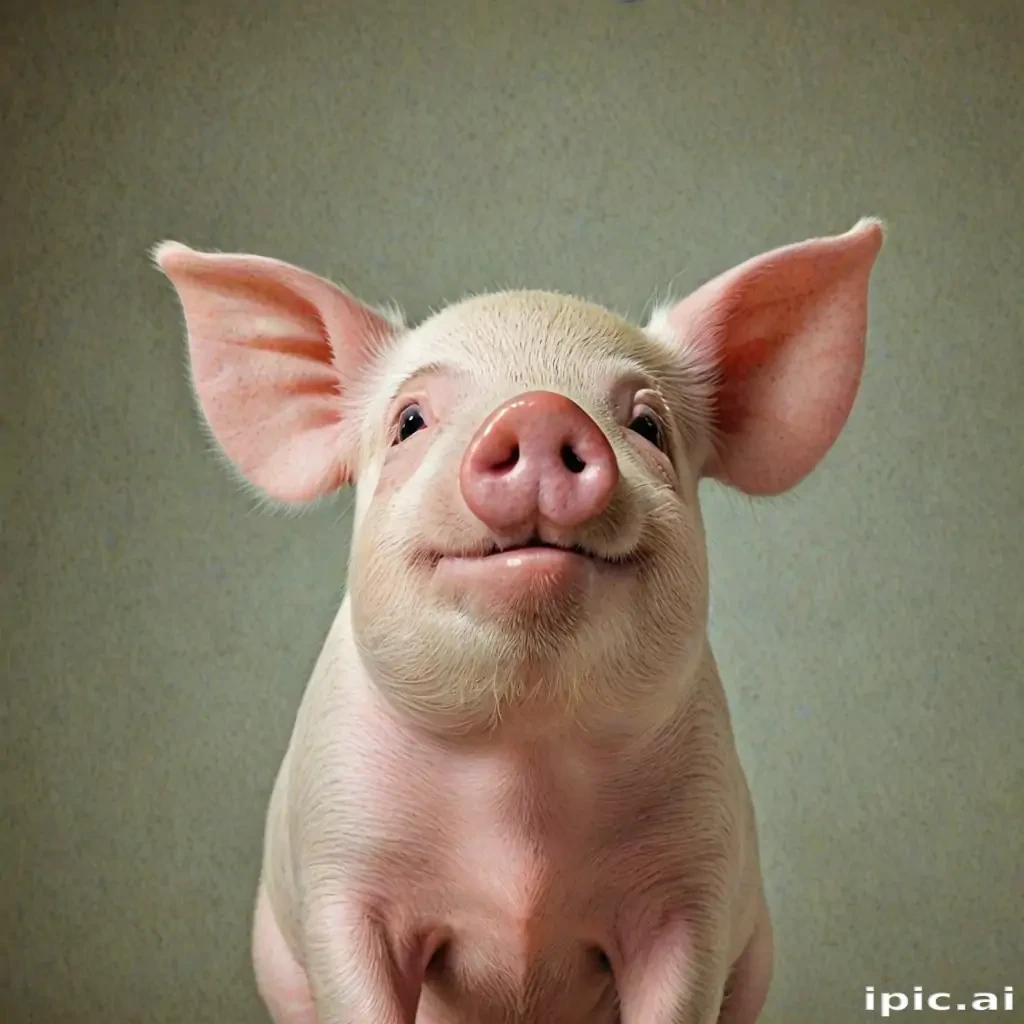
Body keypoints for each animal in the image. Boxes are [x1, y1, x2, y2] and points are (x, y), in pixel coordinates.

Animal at [154, 217, 884, 1023]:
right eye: (410, 421)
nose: (538, 410)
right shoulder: (341, 869)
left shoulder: (694, 886)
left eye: (648, 425)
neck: (523, 772)